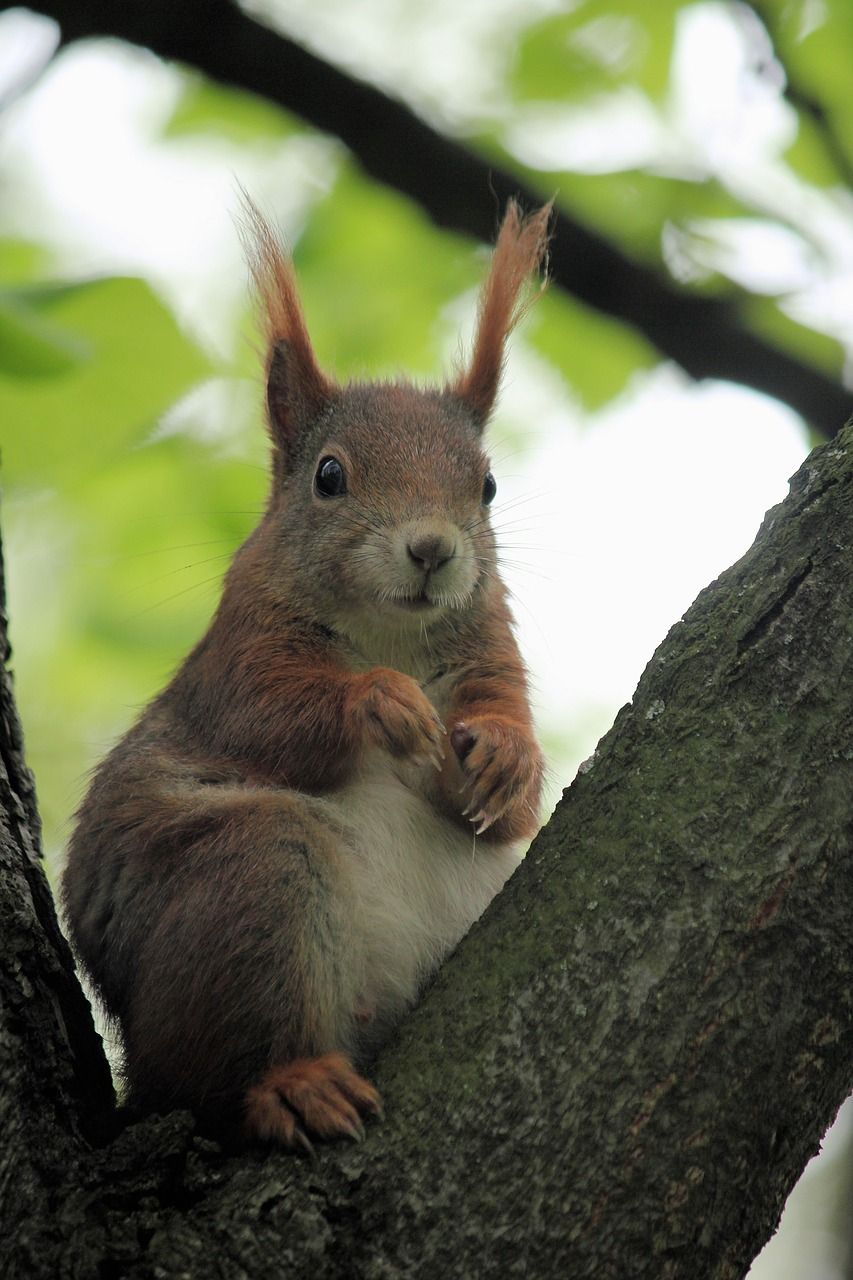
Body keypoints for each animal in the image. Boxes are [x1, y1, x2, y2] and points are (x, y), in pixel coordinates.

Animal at [63, 197, 548, 1152]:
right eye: (329, 477)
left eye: (486, 487)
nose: (432, 550)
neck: (387, 631)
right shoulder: (236, 657)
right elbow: (271, 720)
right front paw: (380, 702)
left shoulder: (493, 653)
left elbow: (509, 806)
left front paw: (506, 758)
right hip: (252, 883)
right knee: (224, 1070)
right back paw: (292, 1085)